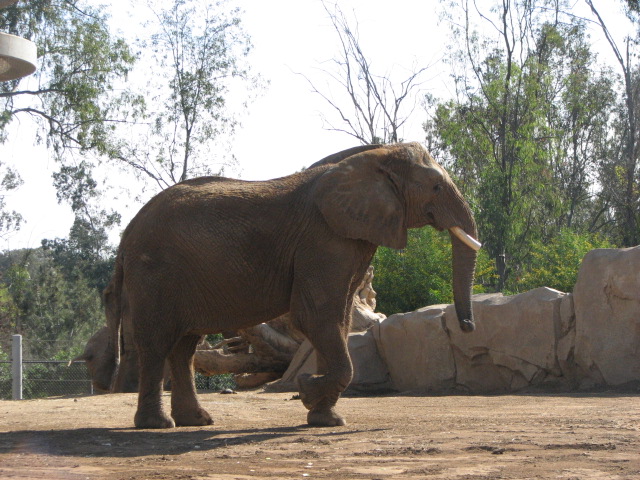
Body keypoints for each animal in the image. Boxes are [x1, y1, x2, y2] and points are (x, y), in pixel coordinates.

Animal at [105, 142, 480, 429]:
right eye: (435, 186)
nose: (467, 325)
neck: (375, 157)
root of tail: (127, 234)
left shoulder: (349, 238)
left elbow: (339, 320)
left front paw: (325, 418)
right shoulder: (323, 238)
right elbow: (317, 316)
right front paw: (309, 391)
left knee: (184, 347)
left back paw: (197, 421)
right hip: (155, 272)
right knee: (156, 343)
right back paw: (158, 425)